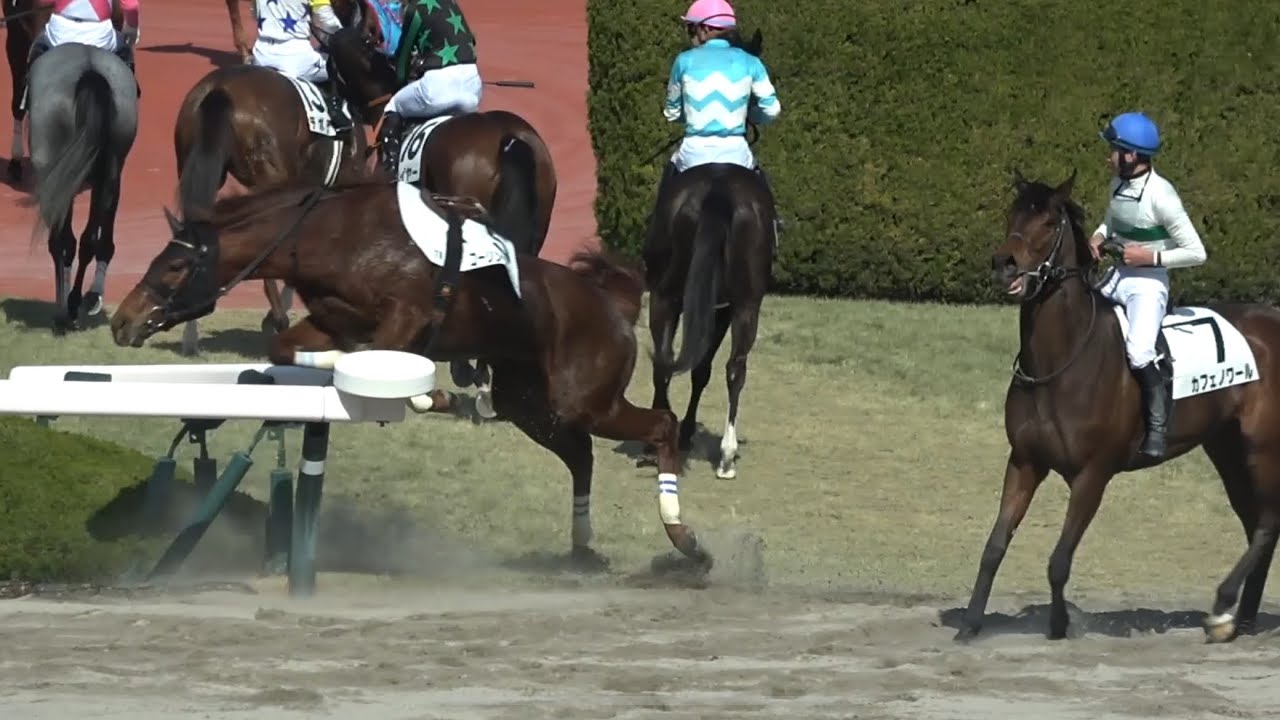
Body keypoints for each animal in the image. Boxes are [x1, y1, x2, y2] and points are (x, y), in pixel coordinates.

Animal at [26, 42, 137, 331]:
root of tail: (90, 70)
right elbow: (101, 241)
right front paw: (91, 297)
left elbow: (62, 241)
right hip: (110, 172)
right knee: (90, 241)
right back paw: (77, 301)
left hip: (51, 173)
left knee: (61, 242)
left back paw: (64, 309)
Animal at [106, 178, 713, 575]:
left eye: (175, 266)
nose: (121, 320)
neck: (334, 234)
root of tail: (614, 304)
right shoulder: (331, 321)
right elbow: (293, 348)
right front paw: (430, 396)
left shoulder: (407, 318)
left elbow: (378, 359)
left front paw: (429, 395)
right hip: (531, 406)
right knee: (581, 456)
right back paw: (583, 546)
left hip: (584, 400)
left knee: (659, 425)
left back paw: (687, 542)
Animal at [644, 162, 775, 480]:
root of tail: (718, 189)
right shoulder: (723, 310)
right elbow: (702, 369)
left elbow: (696, 369)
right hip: (745, 305)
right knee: (735, 369)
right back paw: (726, 457)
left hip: (664, 297)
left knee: (664, 361)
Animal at [956, 170, 1280, 644]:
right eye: (1012, 214)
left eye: (1049, 222)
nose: (1005, 264)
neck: (1063, 360)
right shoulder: (1025, 461)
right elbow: (994, 545)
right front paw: (970, 624)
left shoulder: (1094, 474)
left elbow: (1059, 560)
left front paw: (1059, 626)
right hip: (1227, 449)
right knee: (1255, 522)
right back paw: (1244, 619)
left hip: (1262, 447)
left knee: (1268, 521)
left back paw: (1223, 610)